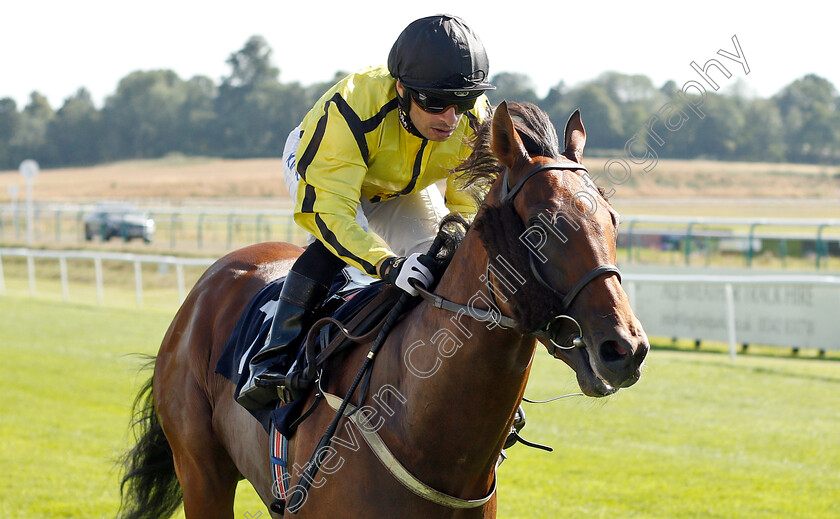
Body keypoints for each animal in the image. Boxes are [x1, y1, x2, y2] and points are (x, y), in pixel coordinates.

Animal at [115, 102, 648, 519]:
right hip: (201, 473)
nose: (626, 348)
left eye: (613, 219)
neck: (422, 431)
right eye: (543, 224)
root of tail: (209, 281)